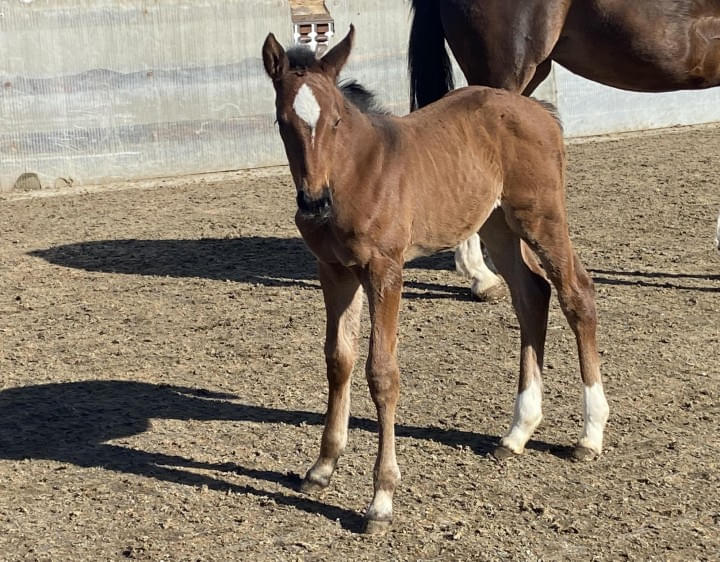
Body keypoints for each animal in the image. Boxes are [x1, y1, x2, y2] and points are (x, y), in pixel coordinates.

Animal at [262, 26, 612, 532]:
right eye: (283, 121)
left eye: (335, 122)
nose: (313, 202)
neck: (356, 174)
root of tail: (540, 112)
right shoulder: (335, 271)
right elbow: (338, 360)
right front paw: (322, 468)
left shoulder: (386, 270)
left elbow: (381, 373)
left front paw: (381, 499)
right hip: (496, 223)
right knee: (532, 294)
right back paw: (517, 432)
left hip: (540, 216)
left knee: (576, 293)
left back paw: (589, 435)